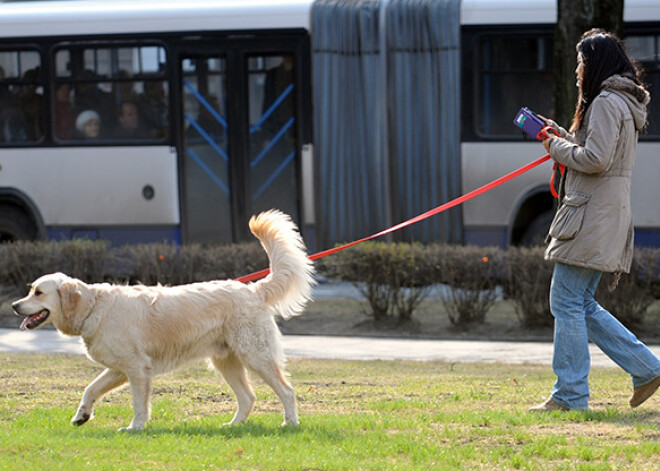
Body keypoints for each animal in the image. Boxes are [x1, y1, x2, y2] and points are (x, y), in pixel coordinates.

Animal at [12, 210, 314, 432]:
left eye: (38, 292)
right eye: (30, 289)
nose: (15, 306)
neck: (94, 306)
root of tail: (253, 290)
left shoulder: (137, 368)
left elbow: (138, 404)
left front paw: (135, 428)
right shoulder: (120, 368)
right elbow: (90, 388)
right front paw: (82, 415)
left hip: (256, 356)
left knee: (287, 391)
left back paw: (290, 423)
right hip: (226, 361)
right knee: (248, 397)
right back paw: (233, 425)